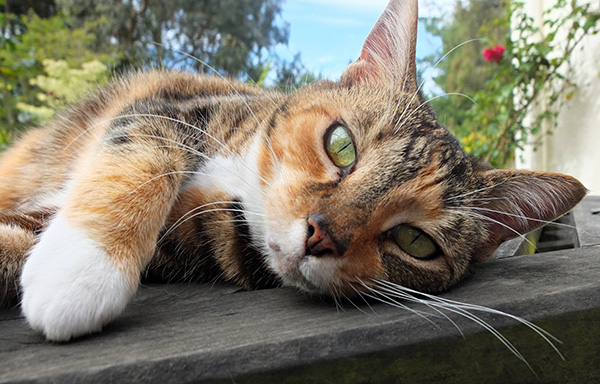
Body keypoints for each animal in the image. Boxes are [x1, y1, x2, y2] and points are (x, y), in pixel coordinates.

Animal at [0, 0, 584, 342]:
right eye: (341, 145)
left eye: (416, 242)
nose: (319, 234)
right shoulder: (173, 108)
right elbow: (143, 151)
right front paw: (82, 266)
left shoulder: (186, 240)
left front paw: (69, 271)